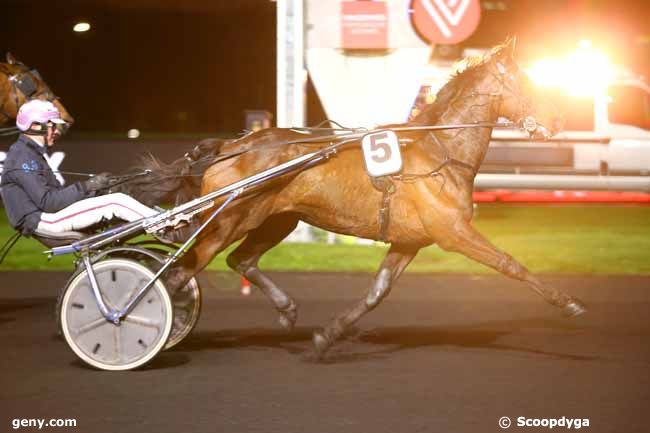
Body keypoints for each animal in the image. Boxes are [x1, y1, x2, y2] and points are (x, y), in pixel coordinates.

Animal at [138, 39, 588, 358]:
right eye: (529, 83)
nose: (558, 119)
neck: (439, 151)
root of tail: (231, 146)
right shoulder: (454, 232)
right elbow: (511, 264)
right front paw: (568, 303)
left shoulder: (409, 241)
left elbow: (377, 293)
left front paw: (327, 337)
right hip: (227, 220)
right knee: (179, 274)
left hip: (278, 219)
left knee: (241, 261)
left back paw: (286, 310)